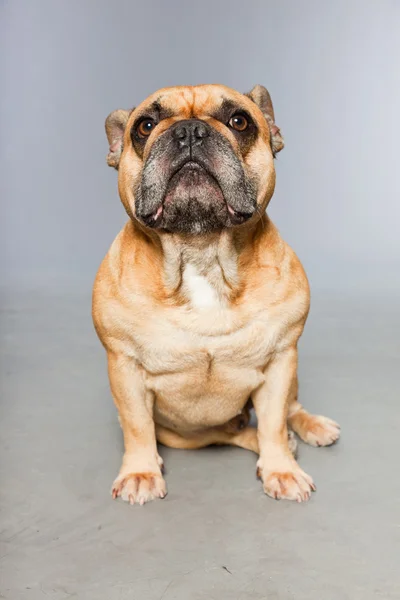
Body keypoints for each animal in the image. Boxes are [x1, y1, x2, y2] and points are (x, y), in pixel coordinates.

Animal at [92, 83, 340, 506]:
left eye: (239, 121)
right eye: (145, 126)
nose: (189, 131)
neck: (201, 251)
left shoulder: (280, 360)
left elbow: (273, 421)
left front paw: (282, 470)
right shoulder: (124, 367)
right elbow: (137, 426)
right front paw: (140, 472)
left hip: (291, 373)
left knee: (287, 410)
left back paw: (309, 428)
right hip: (184, 434)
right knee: (229, 433)